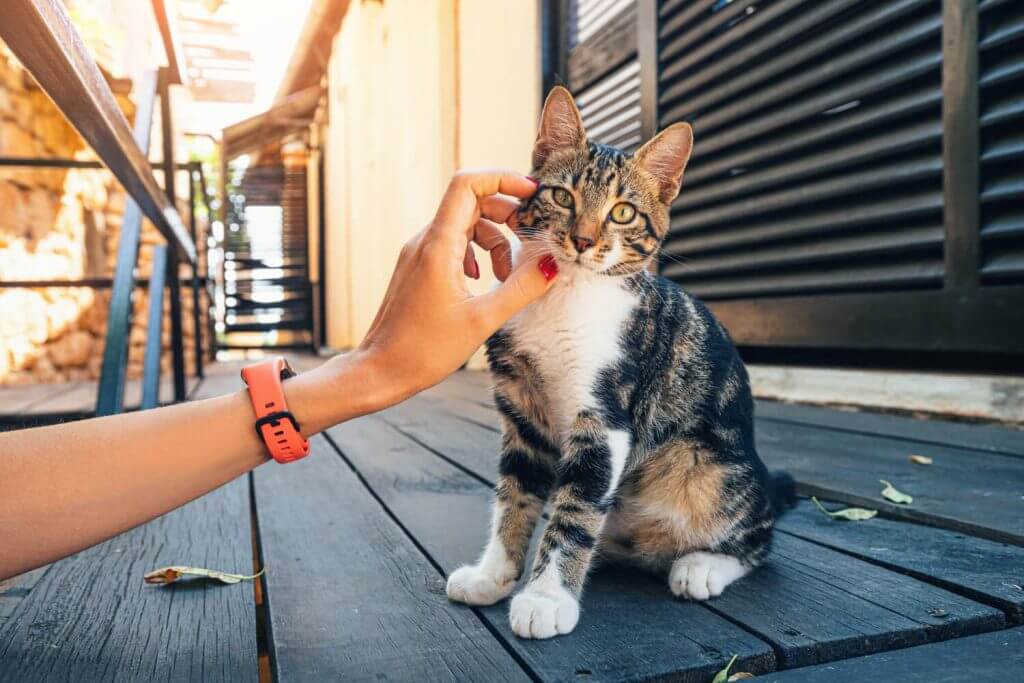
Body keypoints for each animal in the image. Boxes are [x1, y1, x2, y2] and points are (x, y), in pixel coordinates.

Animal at [444, 87, 794, 643]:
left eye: (624, 212)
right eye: (563, 197)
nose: (584, 240)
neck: (565, 296)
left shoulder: (606, 417)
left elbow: (576, 509)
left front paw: (546, 597)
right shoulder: (522, 414)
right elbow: (514, 496)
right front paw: (493, 575)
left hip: (707, 469)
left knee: (757, 539)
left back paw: (702, 566)